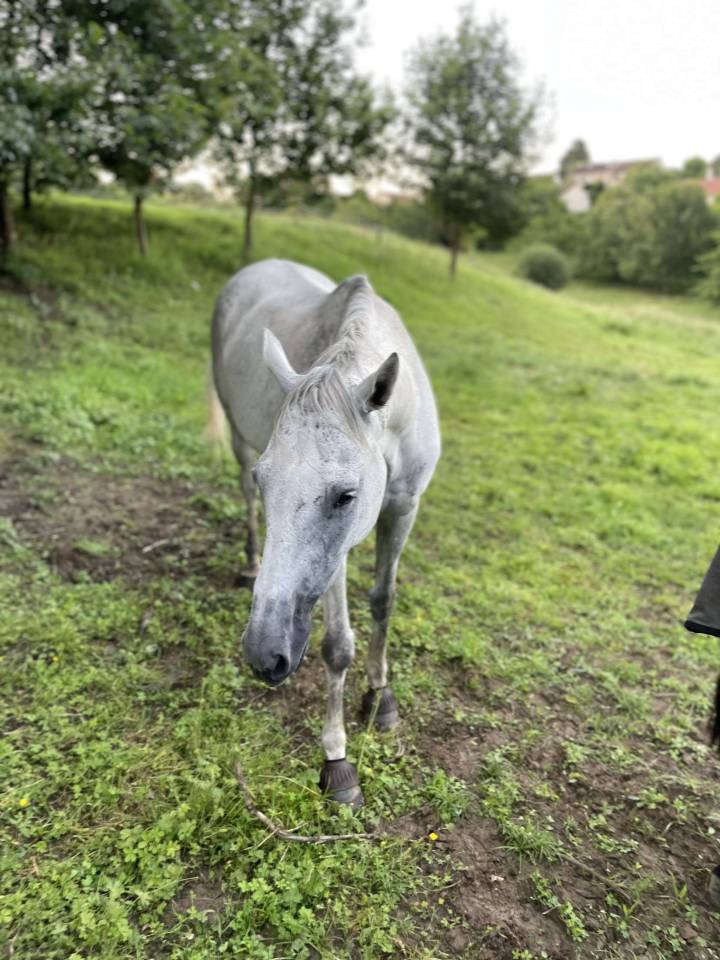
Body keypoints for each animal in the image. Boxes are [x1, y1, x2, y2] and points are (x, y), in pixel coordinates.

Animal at [209, 259, 441, 808]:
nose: (263, 654)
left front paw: (380, 697)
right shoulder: (339, 554)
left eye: (345, 496)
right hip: (237, 436)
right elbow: (337, 645)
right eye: (267, 479)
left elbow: (384, 601)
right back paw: (250, 558)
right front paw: (337, 760)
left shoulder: (403, 509)